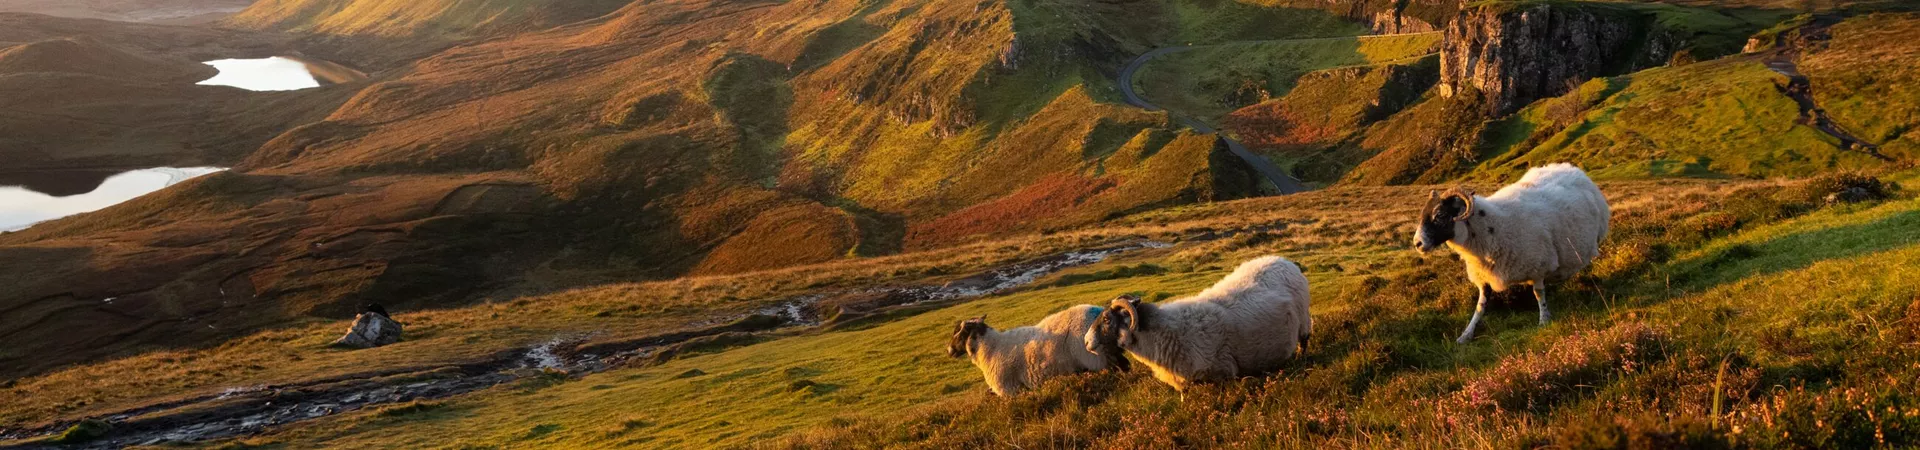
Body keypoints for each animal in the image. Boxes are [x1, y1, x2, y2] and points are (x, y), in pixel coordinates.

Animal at [947, 304, 1130, 397]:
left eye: (959, 333)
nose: (949, 350)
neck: (989, 347)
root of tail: (1099, 314)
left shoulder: (1009, 389)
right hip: (1107, 354)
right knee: (1124, 365)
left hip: (1095, 359)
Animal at [1081, 255, 1311, 392]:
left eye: (1107, 319)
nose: (1085, 341)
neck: (1164, 333)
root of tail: (1283, 260)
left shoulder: (1224, 373)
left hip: (1304, 319)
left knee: (1304, 340)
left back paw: (1302, 358)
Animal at [1413, 163, 1610, 344]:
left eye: (1440, 215)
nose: (1417, 243)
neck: (1492, 226)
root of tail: (1573, 169)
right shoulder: (1484, 277)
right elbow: (1480, 307)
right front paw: (1466, 335)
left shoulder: (1539, 265)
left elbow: (1539, 294)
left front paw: (1544, 320)